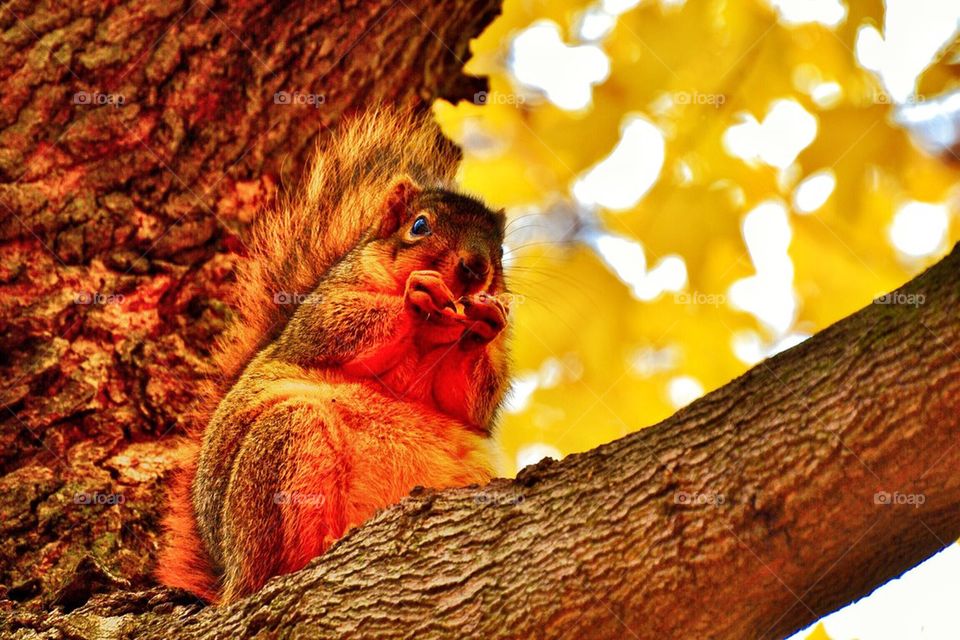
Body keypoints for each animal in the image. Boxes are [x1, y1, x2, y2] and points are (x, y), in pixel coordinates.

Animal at [156, 110, 511, 604]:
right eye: (419, 226)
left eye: (500, 251)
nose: (475, 268)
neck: (428, 340)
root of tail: (229, 571)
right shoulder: (323, 309)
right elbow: (334, 328)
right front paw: (414, 296)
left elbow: (468, 400)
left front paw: (487, 321)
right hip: (287, 442)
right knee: (277, 563)